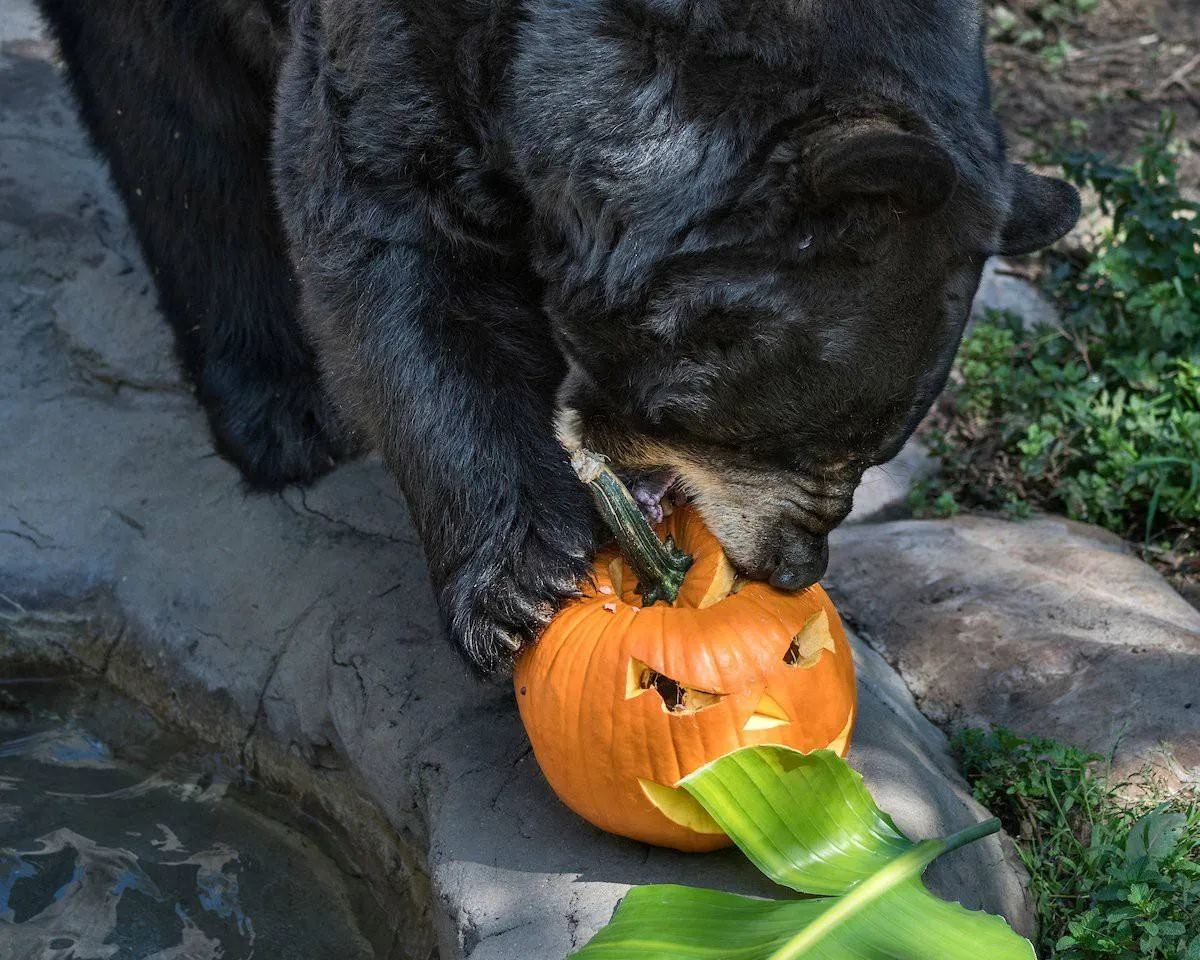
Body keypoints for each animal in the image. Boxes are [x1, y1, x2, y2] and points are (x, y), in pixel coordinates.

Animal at [35, 0, 1080, 672]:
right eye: (818, 437)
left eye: (880, 449)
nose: (793, 567)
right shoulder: (399, 46)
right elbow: (391, 234)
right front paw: (523, 584)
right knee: (175, 121)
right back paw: (279, 409)